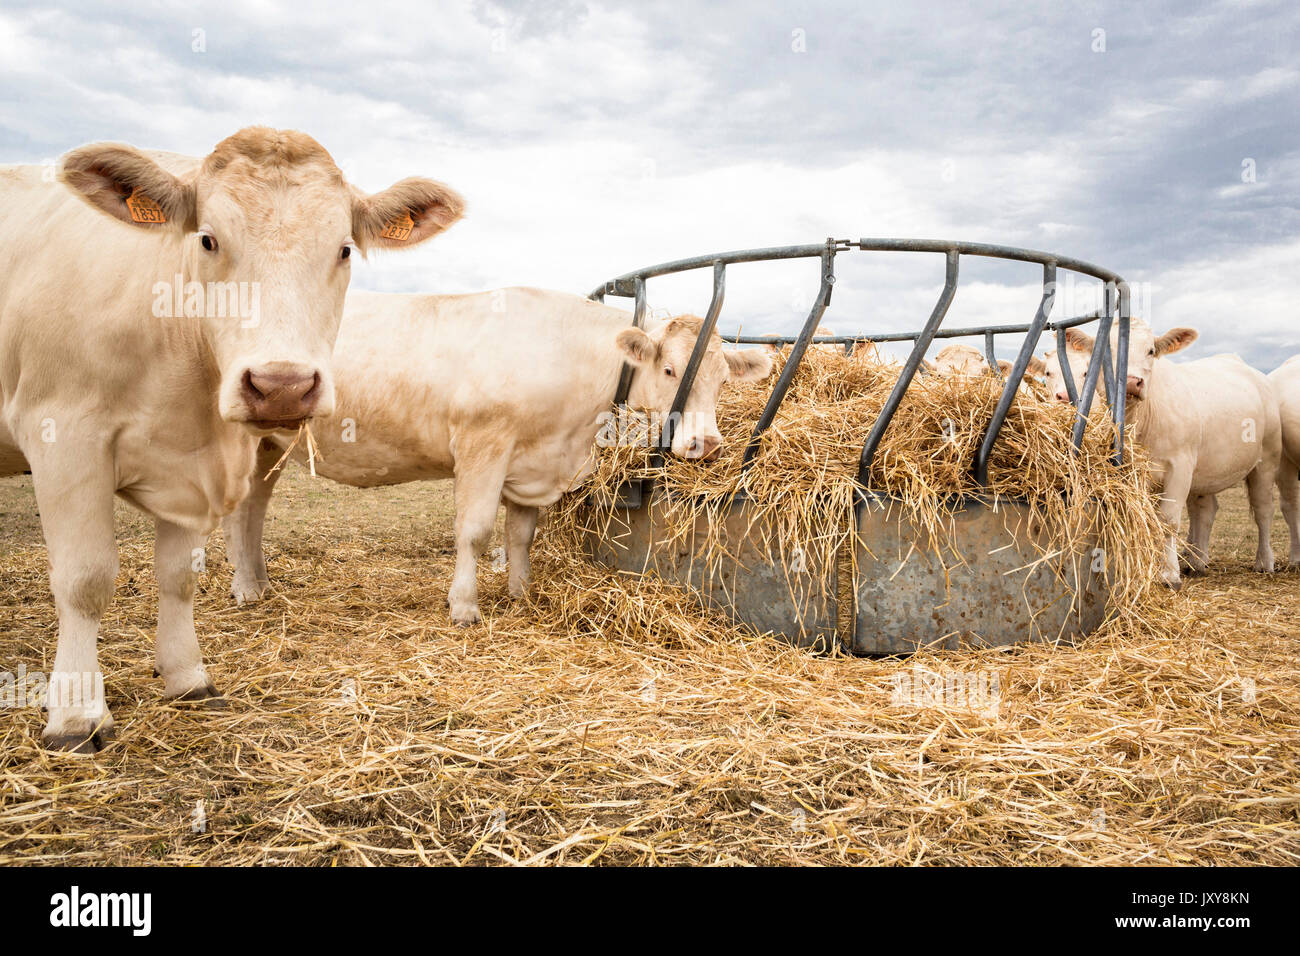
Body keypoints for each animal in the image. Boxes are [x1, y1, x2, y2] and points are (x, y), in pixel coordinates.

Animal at [0, 128, 465, 754]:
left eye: (343, 249)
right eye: (208, 239)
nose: (282, 385)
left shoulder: (194, 465)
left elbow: (179, 576)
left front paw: (187, 679)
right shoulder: (64, 433)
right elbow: (84, 580)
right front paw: (75, 715)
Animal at [222, 287, 769, 624]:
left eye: (723, 379)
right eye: (672, 370)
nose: (707, 444)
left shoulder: (532, 462)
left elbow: (521, 535)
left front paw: (521, 593)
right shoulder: (483, 445)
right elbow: (475, 531)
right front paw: (464, 606)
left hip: (271, 443)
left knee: (253, 508)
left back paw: (259, 582)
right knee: (237, 510)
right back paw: (245, 588)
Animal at [1040, 321, 1274, 587]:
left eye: (1151, 351)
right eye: (1108, 350)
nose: (1132, 382)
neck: (1142, 421)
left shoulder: (1180, 467)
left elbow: (1168, 521)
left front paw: (1169, 574)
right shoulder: (1133, 473)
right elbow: (1145, 519)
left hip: (1266, 459)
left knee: (1263, 510)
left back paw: (1264, 562)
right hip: (1206, 471)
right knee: (1205, 510)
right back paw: (1196, 561)